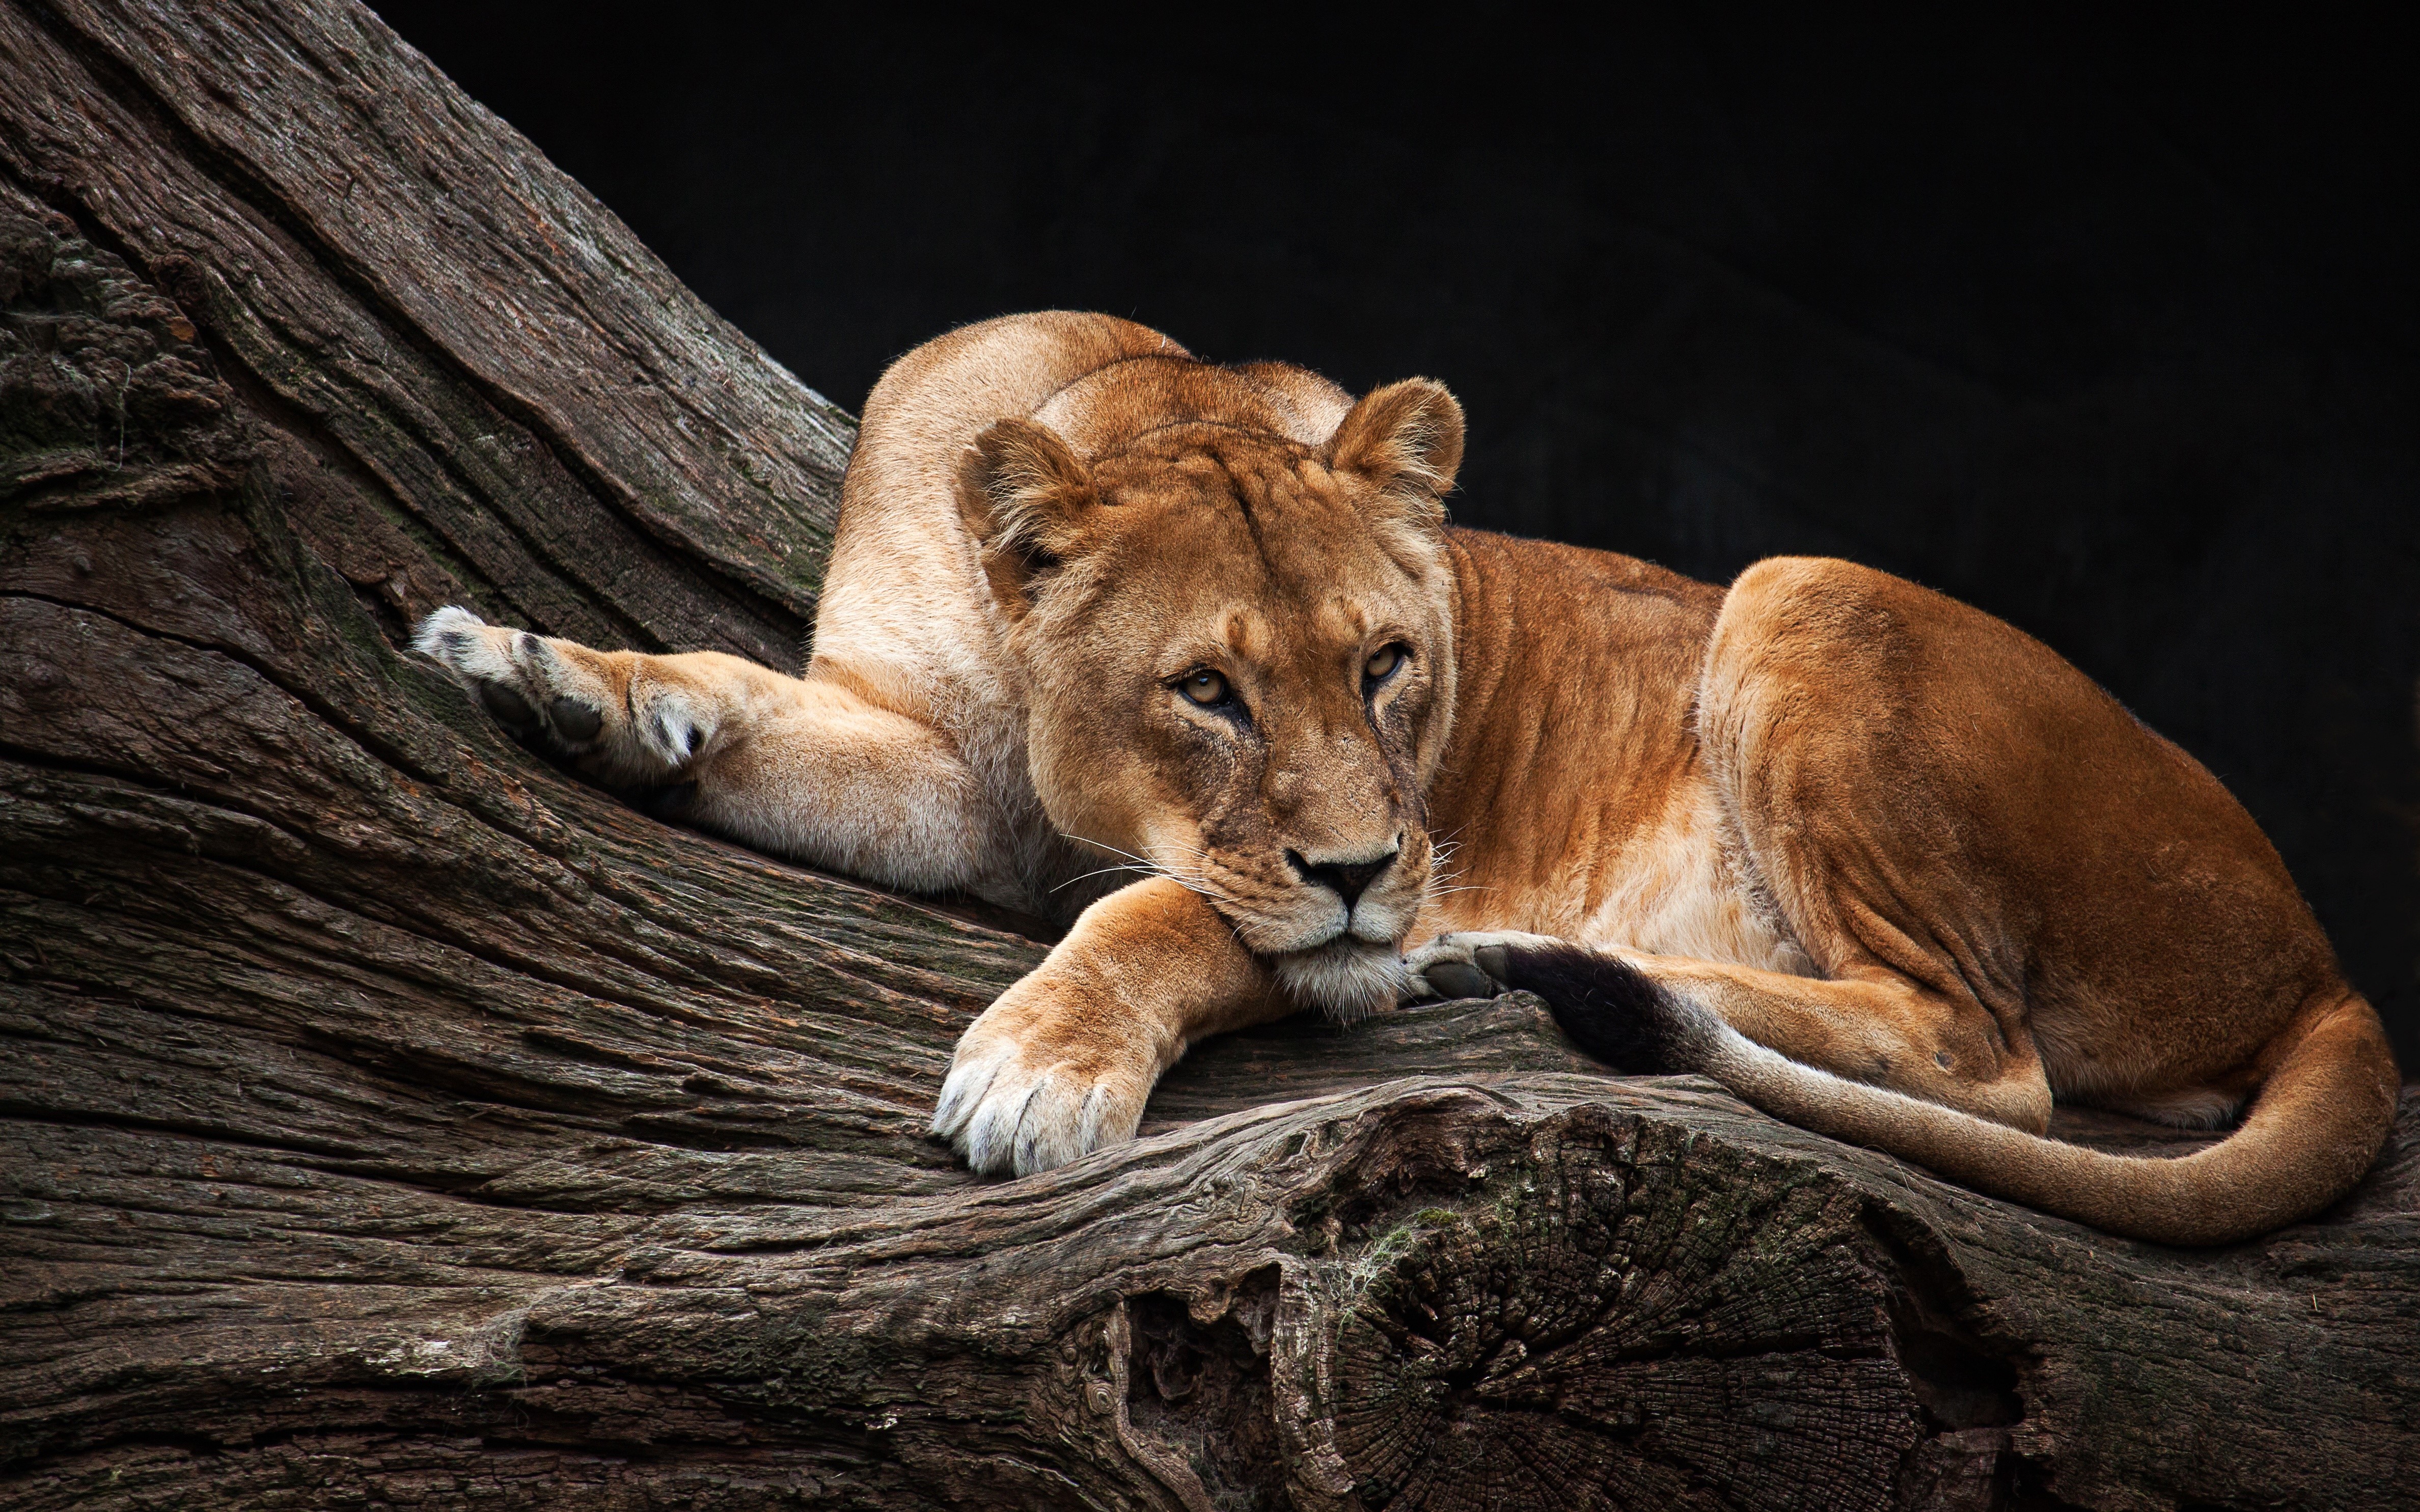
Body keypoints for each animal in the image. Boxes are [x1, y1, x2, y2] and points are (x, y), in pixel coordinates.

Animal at [415, 310, 2397, 1245]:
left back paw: (1504, 960)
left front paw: (1041, 1075)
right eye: (1207, 690)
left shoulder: (1277, 906)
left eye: (1387, 665)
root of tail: (2328, 959)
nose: (1378, 874)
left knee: (1988, 1059)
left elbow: (1166, 917)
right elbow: (746, 705)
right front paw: (552, 676)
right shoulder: (929, 764)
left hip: (1796, 587)